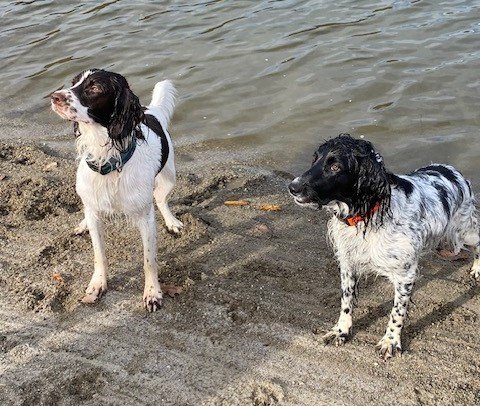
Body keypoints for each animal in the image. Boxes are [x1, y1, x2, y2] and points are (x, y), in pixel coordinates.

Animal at [50, 69, 182, 310]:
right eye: (74, 82)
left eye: (95, 88)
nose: (55, 97)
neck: (107, 160)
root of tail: (152, 110)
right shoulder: (94, 212)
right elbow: (98, 254)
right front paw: (98, 284)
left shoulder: (145, 218)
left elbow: (149, 260)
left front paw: (153, 292)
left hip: (169, 177)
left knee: (161, 199)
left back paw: (171, 221)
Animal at [288, 135, 480, 360]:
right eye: (315, 159)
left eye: (335, 167)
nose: (292, 187)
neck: (367, 214)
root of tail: (452, 170)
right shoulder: (348, 264)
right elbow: (346, 302)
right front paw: (341, 331)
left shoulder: (405, 274)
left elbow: (397, 312)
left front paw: (390, 341)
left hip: (464, 231)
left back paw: (477, 269)